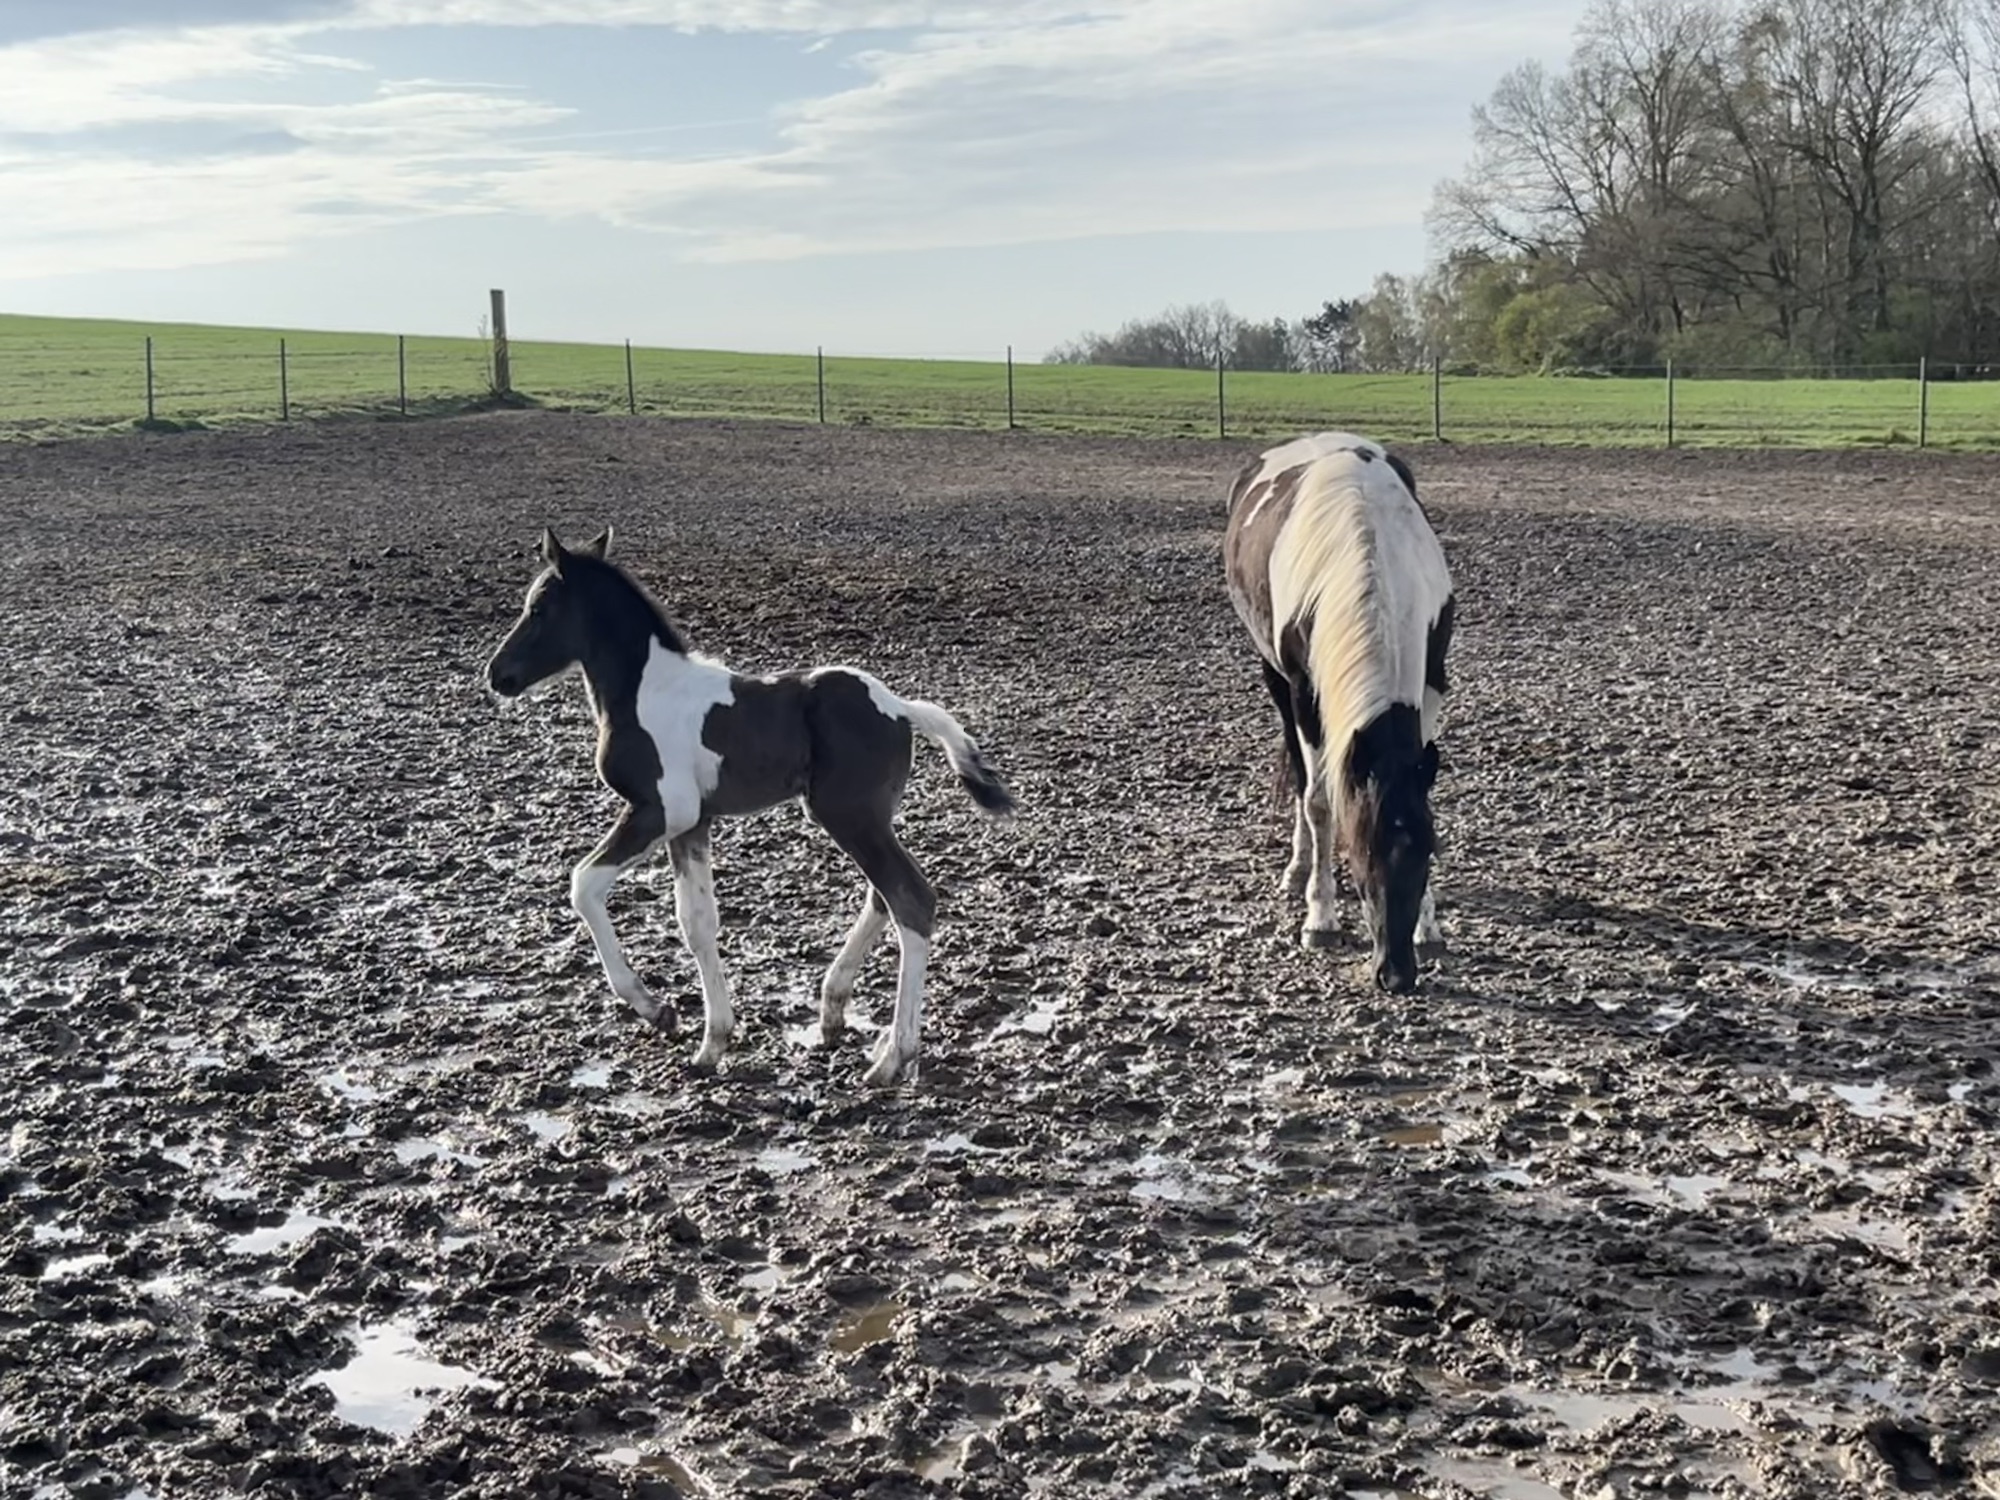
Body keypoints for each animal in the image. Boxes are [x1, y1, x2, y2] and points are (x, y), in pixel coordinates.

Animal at [483, 527, 1015, 1087]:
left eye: (539, 607)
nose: (497, 675)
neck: (646, 692)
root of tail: (899, 707)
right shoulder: (692, 823)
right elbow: (697, 922)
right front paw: (711, 1042)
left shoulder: (662, 810)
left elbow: (584, 885)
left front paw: (657, 1010)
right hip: (867, 818)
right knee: (883, 896)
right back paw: (835, 1011)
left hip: (848, 815)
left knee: (910, 898)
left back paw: (894, 1057)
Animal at [1222, 432, 1455, 992]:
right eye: (1363, 855)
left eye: (1426, 853)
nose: (1397, 974)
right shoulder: (1306, 693)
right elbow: (1319, 801)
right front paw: (1320, 918)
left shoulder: (1431, 682)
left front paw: (1429, 927)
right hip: (1276, 680)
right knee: (1303, 775)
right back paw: (1297, 869)